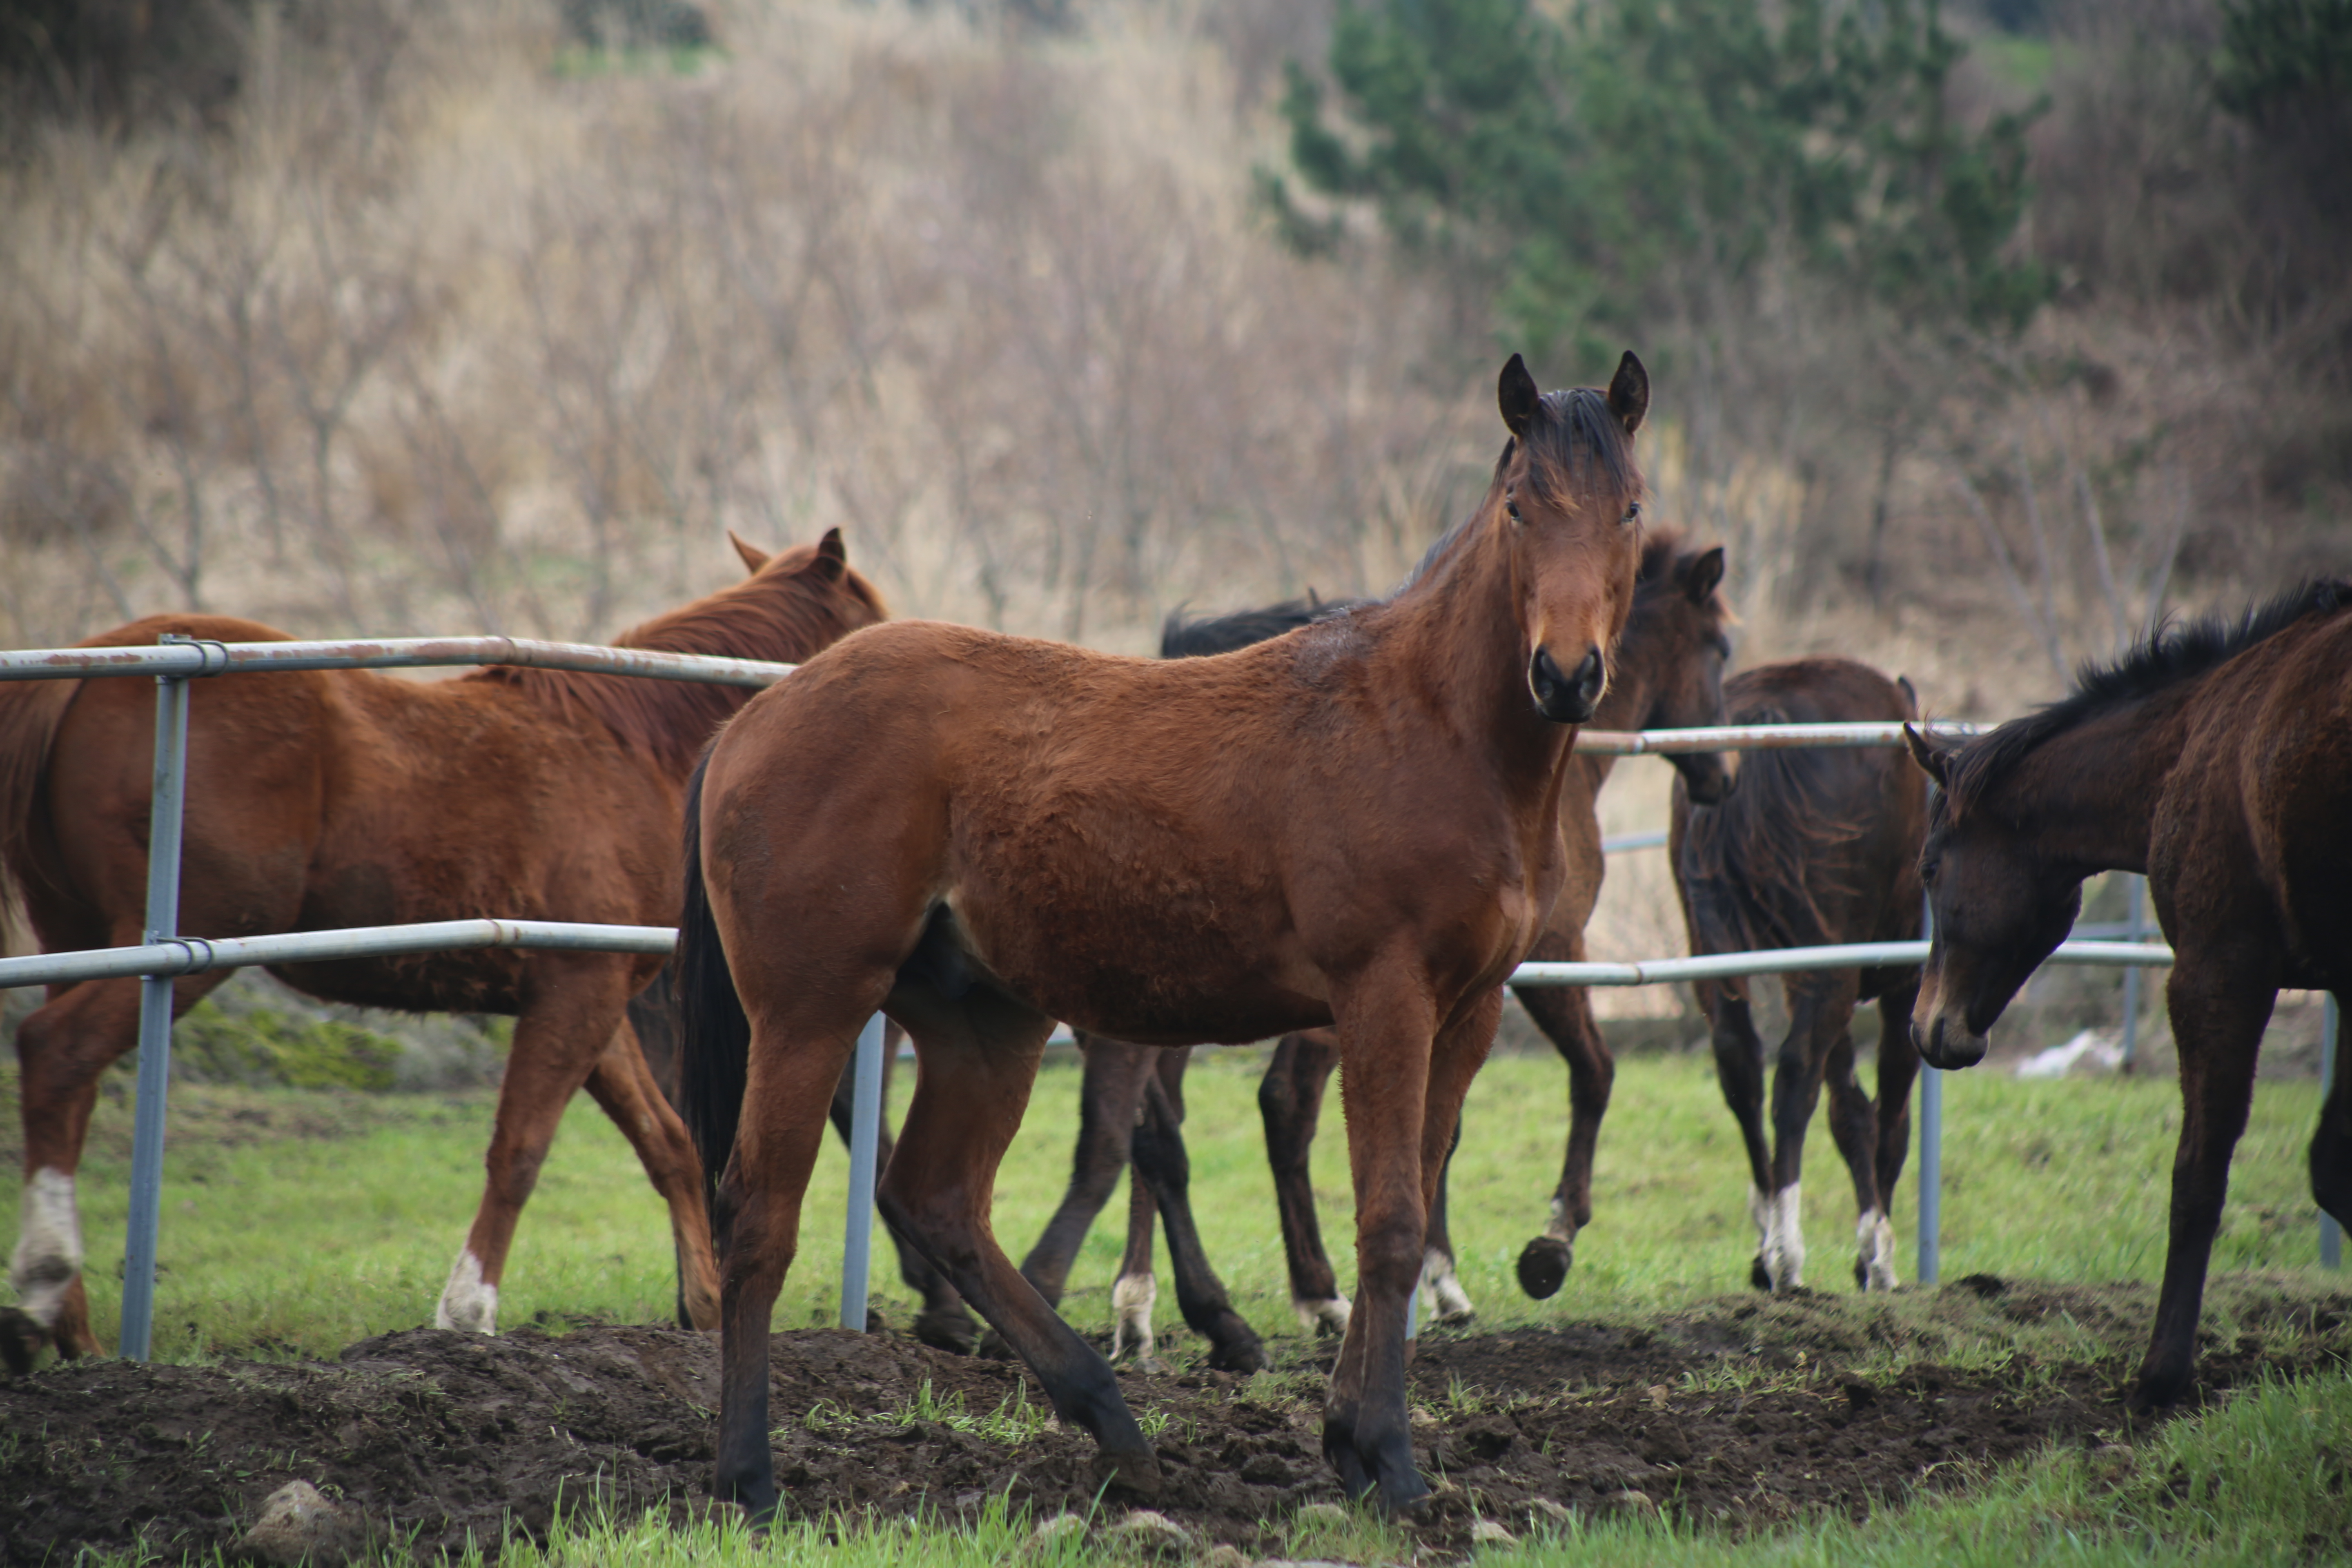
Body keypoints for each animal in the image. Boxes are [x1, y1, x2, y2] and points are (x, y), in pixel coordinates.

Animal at [677, 355, 1656, 1523]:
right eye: (1519, 509)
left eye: (1629, 509)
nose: (1567, 672)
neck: (1428, 721)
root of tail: (751, 721)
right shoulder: (1382, 1000)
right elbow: (1388, 1221)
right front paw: (1389, 1458)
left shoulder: (1465, 1011)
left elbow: (1412, 1211)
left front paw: (1346, 1436)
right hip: (809, 1012)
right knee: (760, 1214)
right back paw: (748, 1476)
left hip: (984, 1023)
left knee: (936, 1200)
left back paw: (1115, 1425)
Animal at [1665, 658, 1919, 1297]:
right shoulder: (1903, 983)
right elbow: (1888, 1115)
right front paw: (1876, 1255)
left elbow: (1850, 1112)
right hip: (1829, 967)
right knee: (1796, 1077)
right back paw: (1787, 1252)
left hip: (1721, 957)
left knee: (1741, 1066)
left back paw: (1766, 1244)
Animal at [1910, 583, 2352, 1420]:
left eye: (1928, 868)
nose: (1928, 1027)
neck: (2193, 740)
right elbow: (2331, 1166)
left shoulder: (2216, 974)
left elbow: (2199, 1175)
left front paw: (2161, 1375)